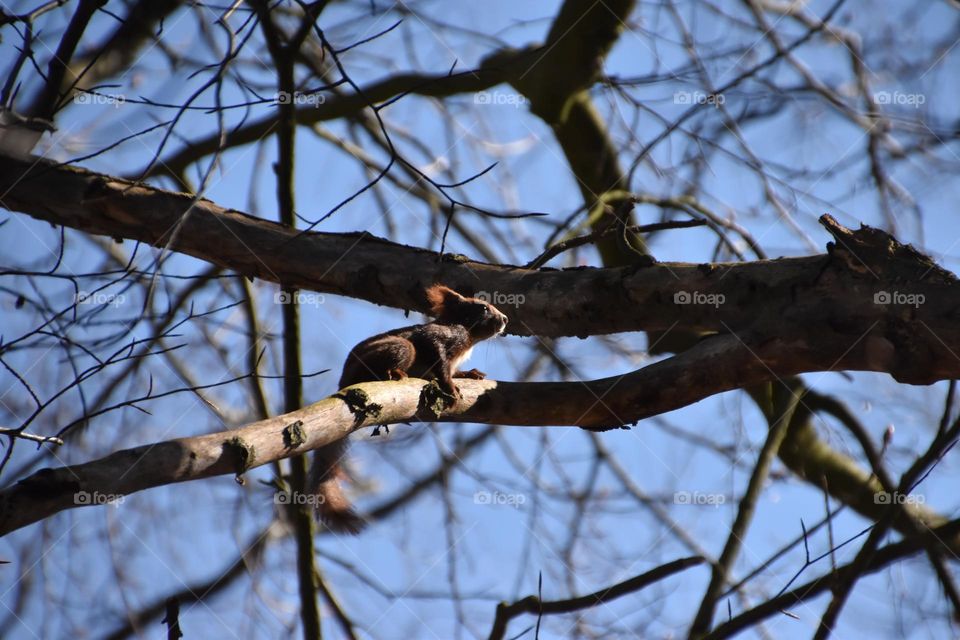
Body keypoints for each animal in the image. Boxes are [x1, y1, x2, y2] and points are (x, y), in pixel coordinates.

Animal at [308, 284, 509, 533]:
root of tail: (343, 382)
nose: (505, 319)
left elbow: (453, 370)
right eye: (483, 307)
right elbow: (439, 360)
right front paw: (450, 387)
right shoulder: (438, 337)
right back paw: (394, 372)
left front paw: (470, 374)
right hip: (400, 347)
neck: (469, 338)